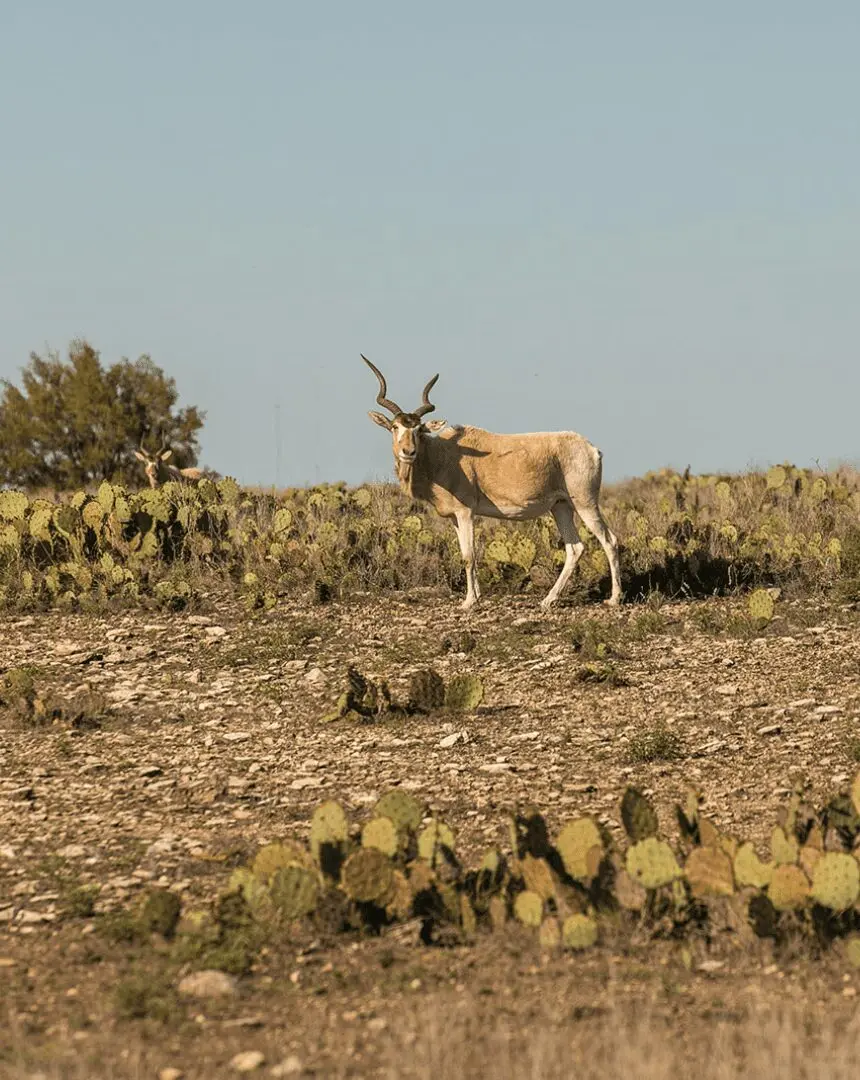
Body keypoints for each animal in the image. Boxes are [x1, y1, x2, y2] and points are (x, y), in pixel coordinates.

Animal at [362, 354, 622, 611]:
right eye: (395, 426)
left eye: (418, 429)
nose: (408, 452)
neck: (444, 455)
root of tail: (592, 449)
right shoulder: (455, 518)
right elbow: (466, 553)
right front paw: (476, 596)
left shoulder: (466, 512)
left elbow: (469, 556)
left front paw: (468, 602)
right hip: (561, 507)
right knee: (575, 548)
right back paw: (548, 600)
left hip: (585, 503)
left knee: (610, 540)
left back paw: (614, 599)